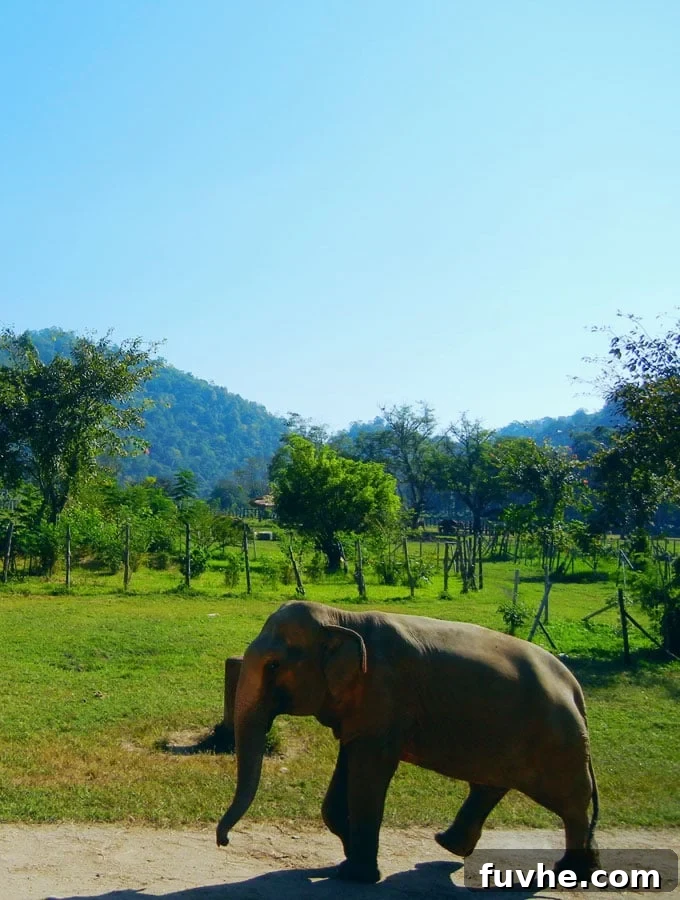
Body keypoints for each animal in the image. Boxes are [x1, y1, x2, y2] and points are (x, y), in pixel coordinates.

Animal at [216, 601, 599, 884]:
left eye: (274, 666)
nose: (224, 840)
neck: (342, 618)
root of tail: (574, 687)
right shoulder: (363, 712)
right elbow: (345, 771)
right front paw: (347, 858)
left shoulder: (384, 693)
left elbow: (370, 773)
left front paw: (357, 875)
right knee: (492, 786)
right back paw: (450, 846)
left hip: (556, 741)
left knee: (570, 803)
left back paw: (570, 872)